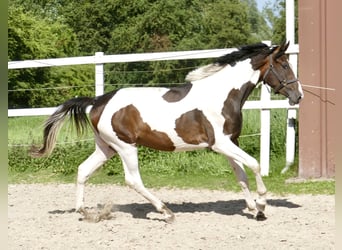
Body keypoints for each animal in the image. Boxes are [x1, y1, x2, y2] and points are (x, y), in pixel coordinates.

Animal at [31, 41, 302, 223]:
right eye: (284, 64)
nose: (298, 95)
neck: (222, 95)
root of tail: (98, 101)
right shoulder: (221, 144)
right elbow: (255, 165)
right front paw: (262, 206)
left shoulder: (229, 143)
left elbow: (242, 176)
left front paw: (252, 208)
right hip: (126, 147)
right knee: (133, 180)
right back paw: (165, 211)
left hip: (106, 148)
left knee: (83, 170)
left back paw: (85, 212)